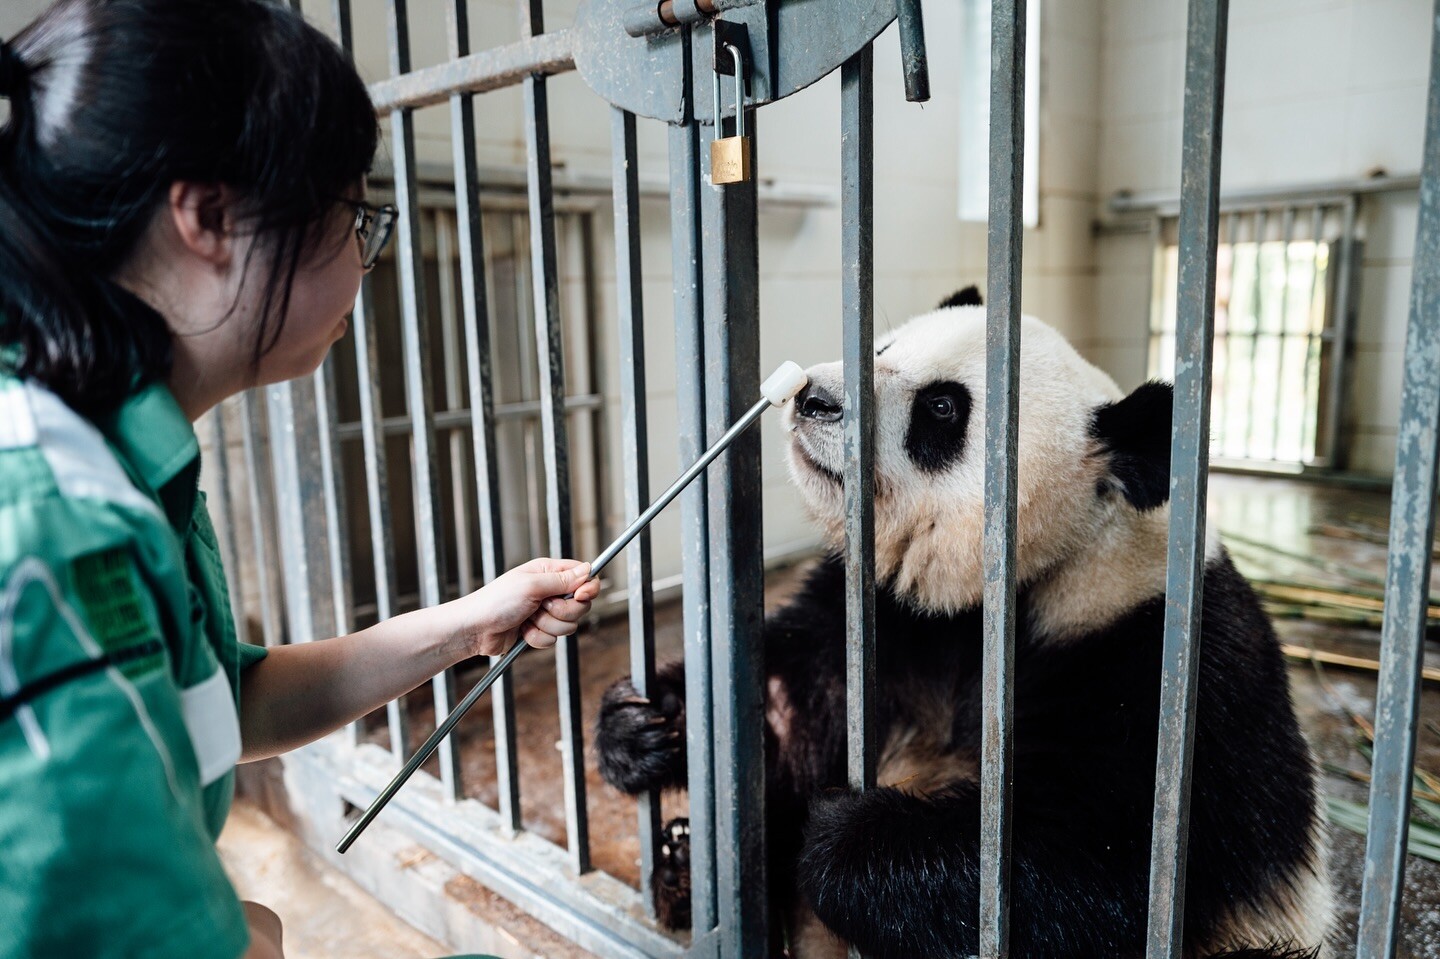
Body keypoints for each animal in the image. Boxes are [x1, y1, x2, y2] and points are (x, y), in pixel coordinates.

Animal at [590, 285, 1330, 956]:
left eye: (942, 407)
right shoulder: (884, 619)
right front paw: (646, 723)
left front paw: (842, 833)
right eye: (881, 348)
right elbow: (789, 698)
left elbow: (1103, 869)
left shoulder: (1155, 670)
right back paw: (685, 872)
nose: (812, 398)